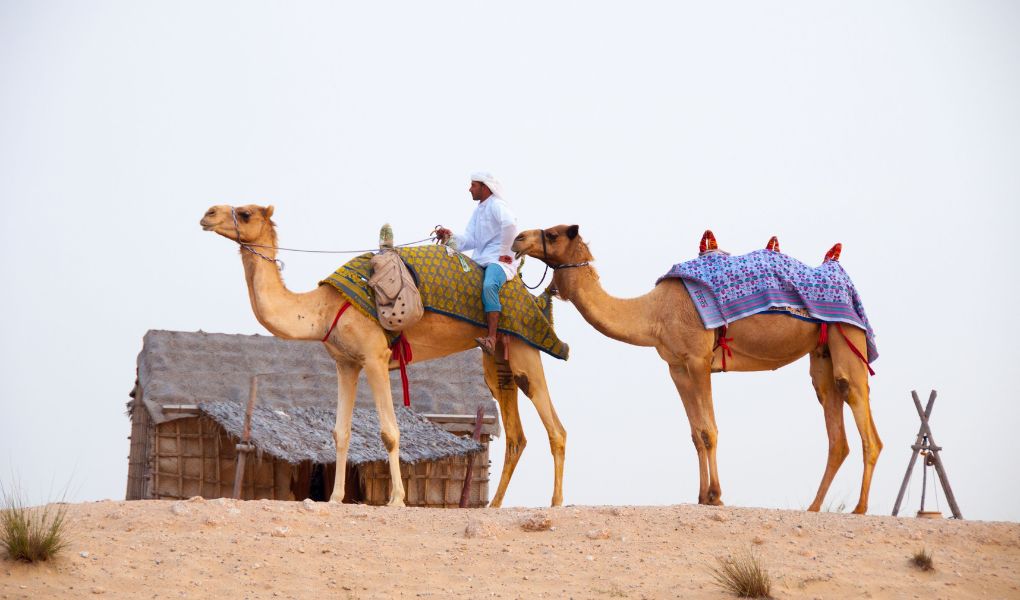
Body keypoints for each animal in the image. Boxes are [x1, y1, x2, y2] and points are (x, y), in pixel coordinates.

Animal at [200, 204, 567, 507]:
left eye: (245, 213)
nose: (208, 214)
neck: (323, 308)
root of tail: (532, 297)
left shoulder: (375, 357)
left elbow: (389, 432)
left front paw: (397, 499)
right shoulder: (346, 363)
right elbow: (340, 432)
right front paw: (335, 498)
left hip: (524, 349)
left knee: (555, 428)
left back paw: (555, 503)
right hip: (498, 360)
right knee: (517, 435)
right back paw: (495, 506)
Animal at [512, 225, 881, 514]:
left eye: (553, 233)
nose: (517, 238)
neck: (653, 312)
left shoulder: (699, 359)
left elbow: (709, 430)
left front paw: (716, 496)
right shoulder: (676, 366)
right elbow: (695, 433)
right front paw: (702, 495)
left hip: (848, 336)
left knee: (861, 414)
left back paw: (860, 508)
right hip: (821, 354)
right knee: (836, 428)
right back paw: (815, 507)